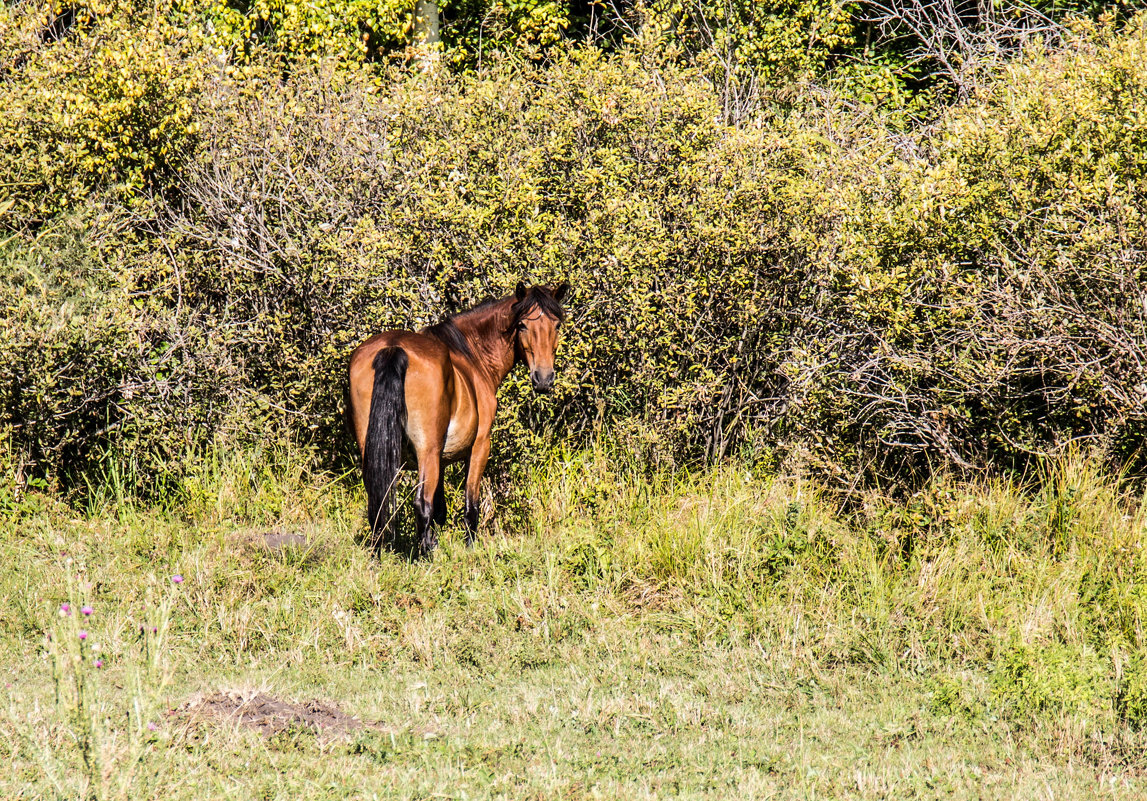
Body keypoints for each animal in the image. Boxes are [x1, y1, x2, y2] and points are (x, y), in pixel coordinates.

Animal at [344, 281, 568, 555]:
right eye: (523, 325)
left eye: (556, 325)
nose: (543, 378)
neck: (471, 356)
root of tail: (392, 347)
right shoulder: (480, 446)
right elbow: (470, 503)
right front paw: (470, 546)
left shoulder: (440, 458)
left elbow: (440, 507)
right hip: (426, 451)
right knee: (421, 504)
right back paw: (425, 555)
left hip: (375, 450)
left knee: (378, 501)